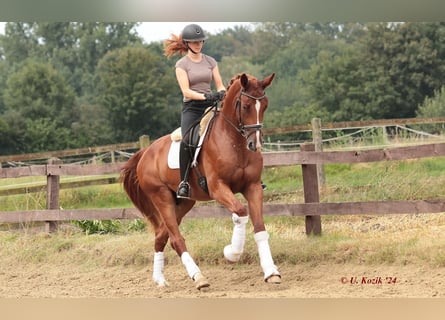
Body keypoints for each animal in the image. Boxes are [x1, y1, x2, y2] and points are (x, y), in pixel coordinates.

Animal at [120, 72, 280, 290]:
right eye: (246, 106)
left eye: (264, 105)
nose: (254, 145)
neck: (234, 142)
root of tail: (146, 152)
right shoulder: (218, 188)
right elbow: (240, 212)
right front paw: (231, 252)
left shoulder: (253, 187)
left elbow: (260, 229)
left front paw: (271, 272)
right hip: (162, 198)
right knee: (176, 239)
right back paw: (198, 277)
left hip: (184, 202)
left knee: (161, 236)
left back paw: (160, 279)